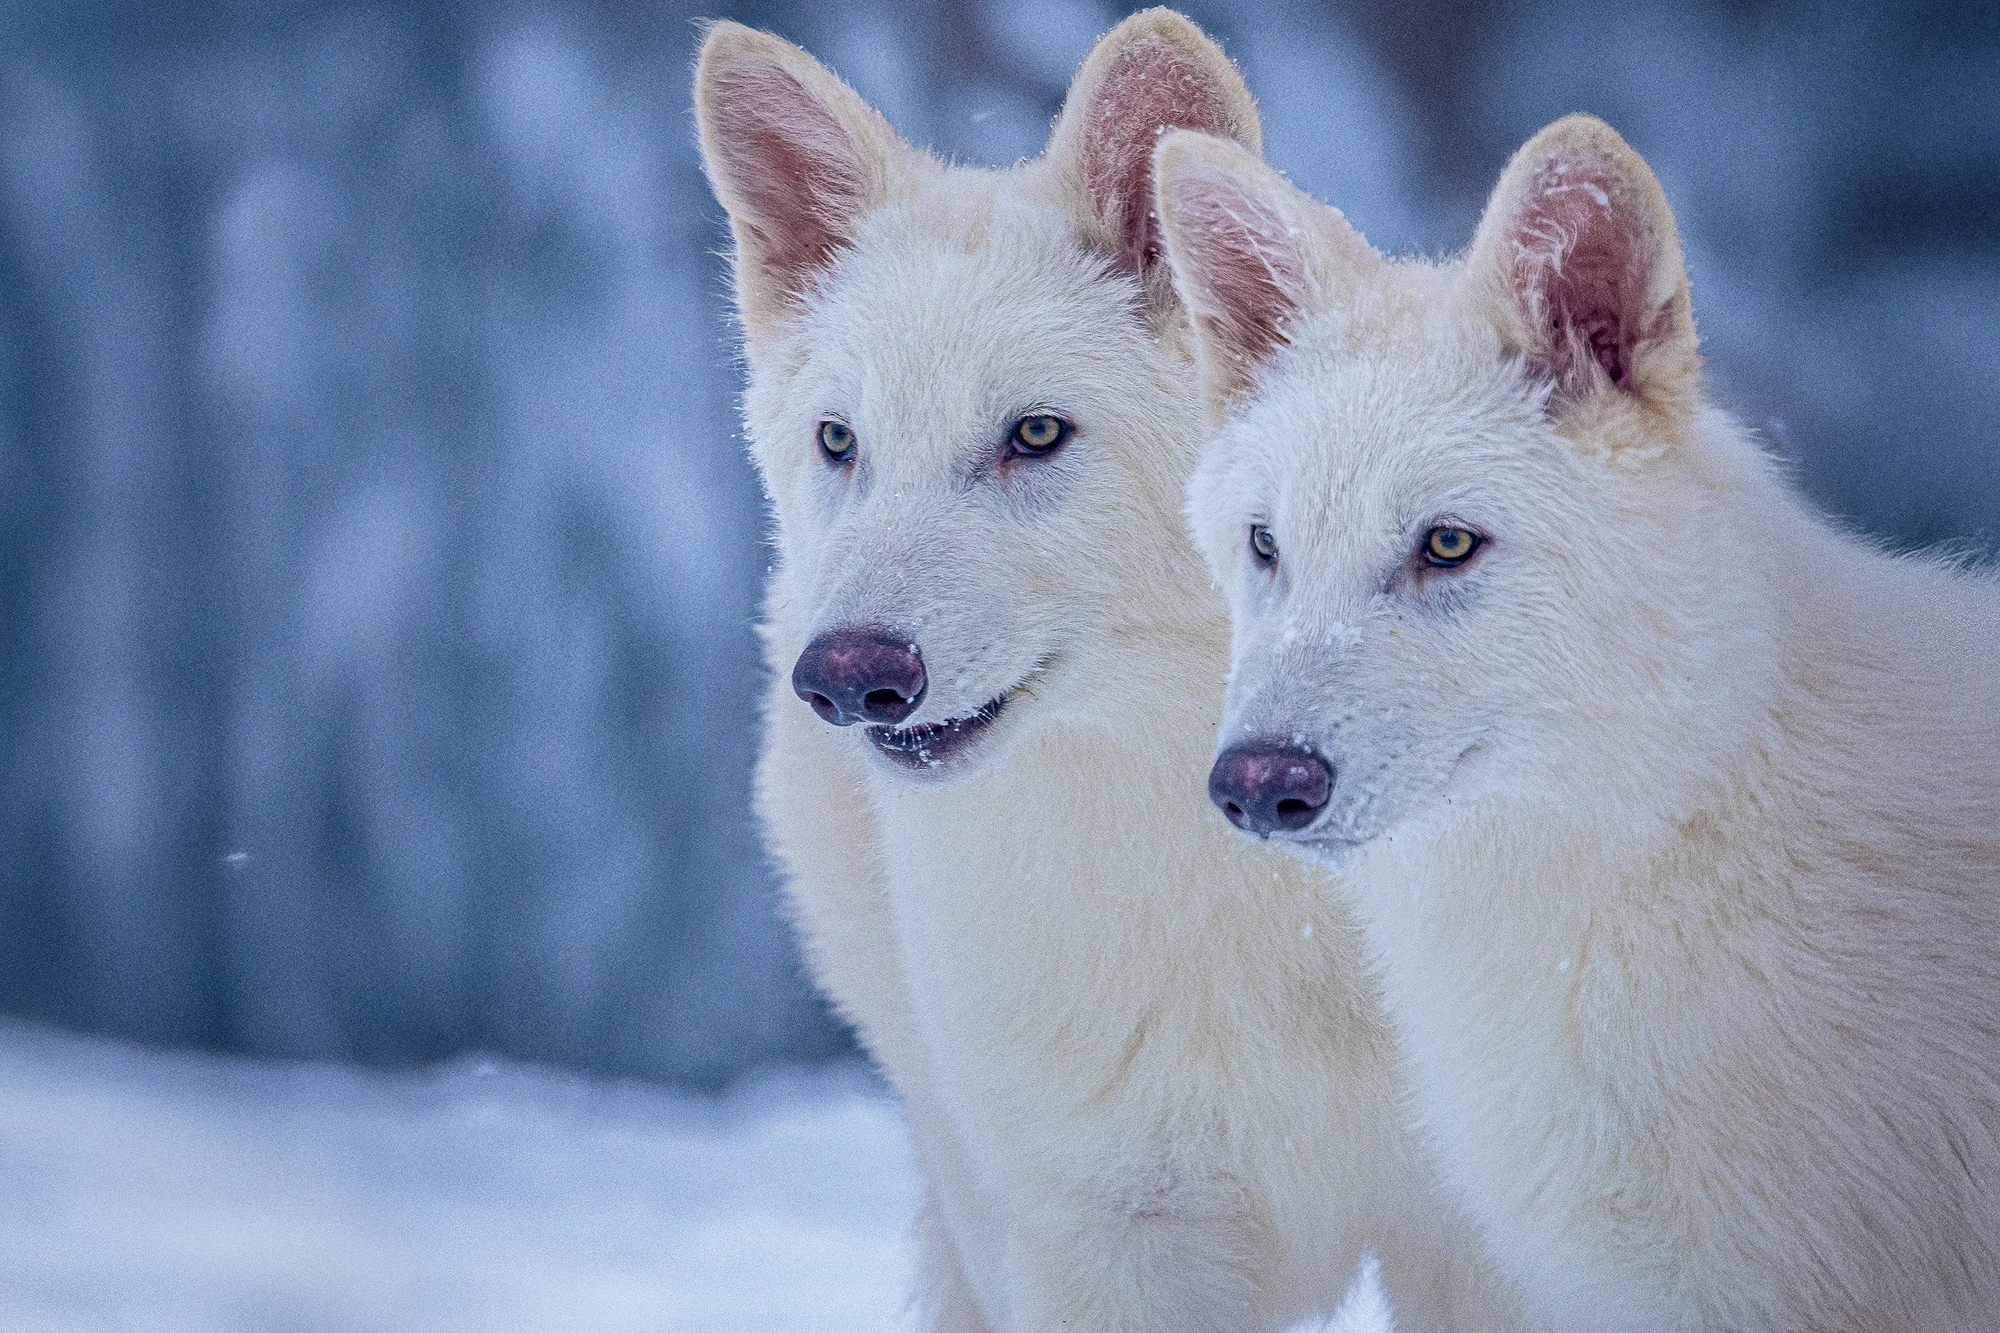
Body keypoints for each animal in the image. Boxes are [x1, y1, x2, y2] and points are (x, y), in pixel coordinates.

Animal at [693, 11, 1521, 1332]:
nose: (850, 676)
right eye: (839, 442)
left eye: (1035, 435)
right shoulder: (1113, 1238)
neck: (1254, 899)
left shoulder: (1486, 1228)